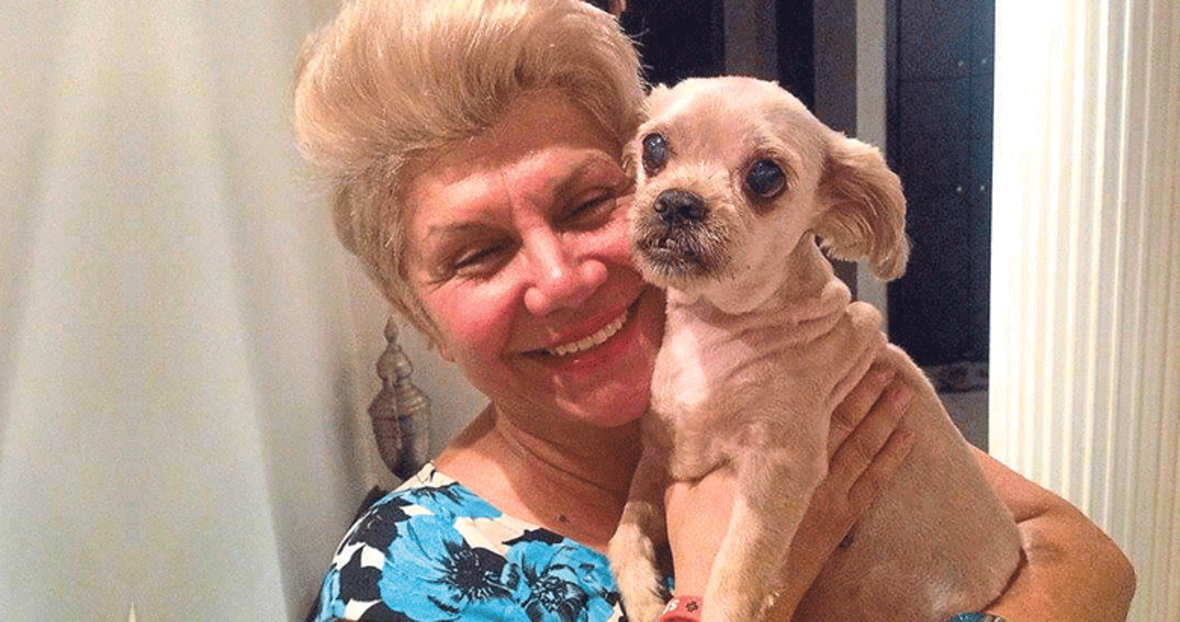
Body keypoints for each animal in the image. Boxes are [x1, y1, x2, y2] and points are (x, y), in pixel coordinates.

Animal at [607, 77, 1022, 622]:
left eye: (766, 176)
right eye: (653, 148)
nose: (677, 201)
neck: (713, 328)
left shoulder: (777, 469)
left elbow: (736, 577)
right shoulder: (662, 455)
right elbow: (623, 531)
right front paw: (642, 595)